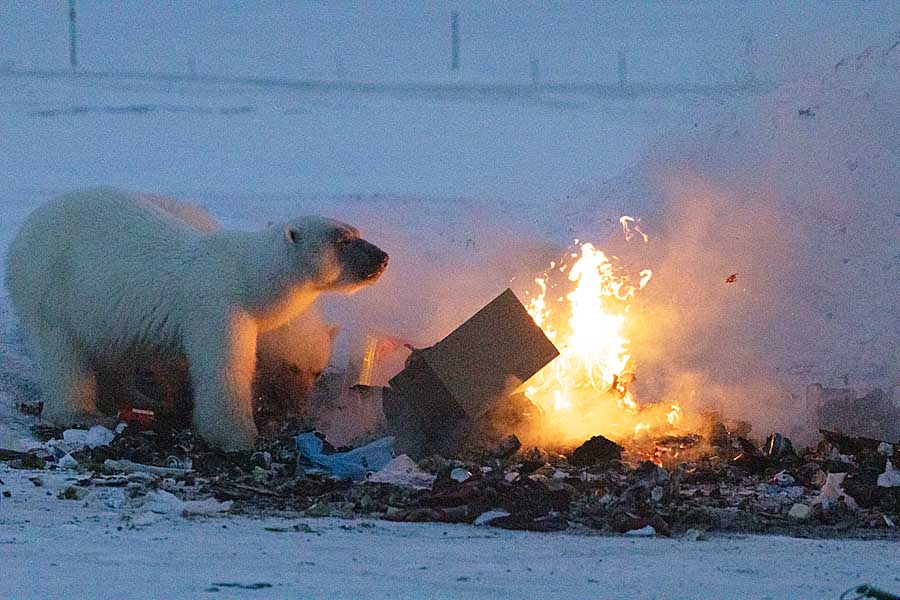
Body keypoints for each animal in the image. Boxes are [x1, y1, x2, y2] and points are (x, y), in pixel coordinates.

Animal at [6, 188, 386, 450]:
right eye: (344, 240)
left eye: (316, 371)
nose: (382, 258)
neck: (247, 275)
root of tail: (24, 230)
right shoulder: (217, 307)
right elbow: (224, 370)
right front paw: (238, 436)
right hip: (50, 288)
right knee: (62, 352)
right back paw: (81, 413)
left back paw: (141, 401)